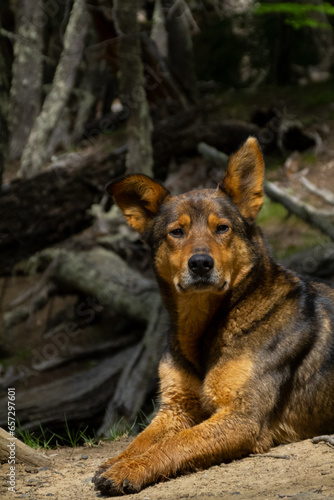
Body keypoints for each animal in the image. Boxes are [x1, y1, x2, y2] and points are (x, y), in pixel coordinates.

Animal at [92, 137, 334, 496]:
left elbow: (177, 442)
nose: (201, 264)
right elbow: (141, 440)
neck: (206, 327)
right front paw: (117, 460)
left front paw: (128, 469)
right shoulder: (176, 406)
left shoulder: (241, 416)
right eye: (177, 232)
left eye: (222, 229)